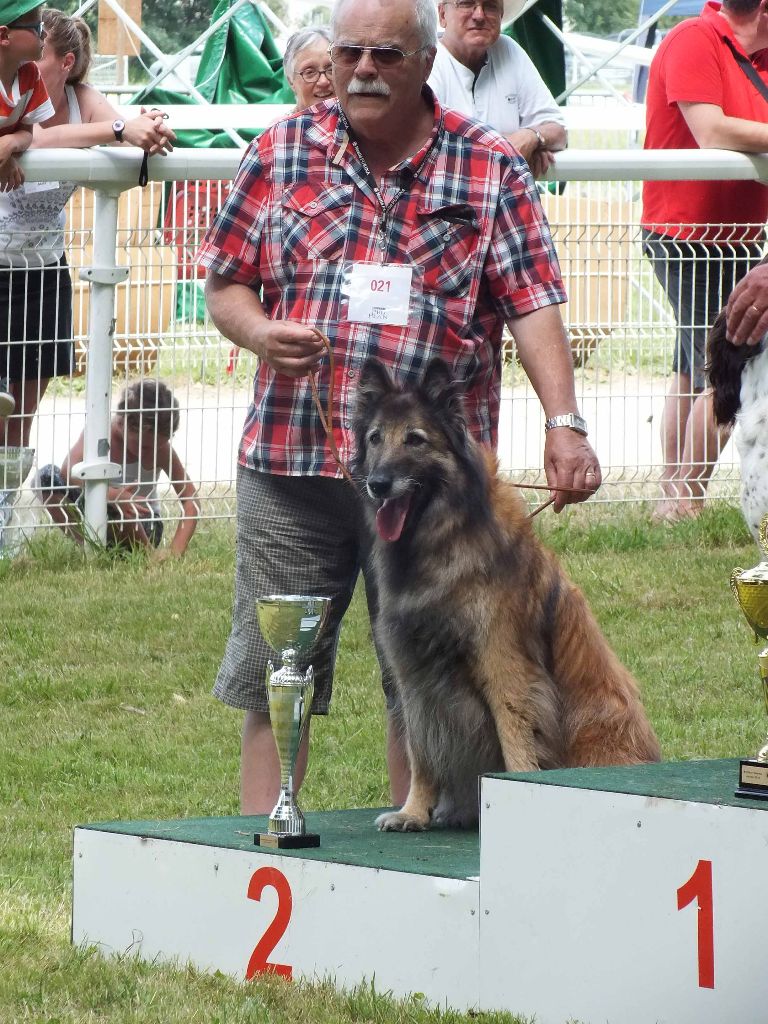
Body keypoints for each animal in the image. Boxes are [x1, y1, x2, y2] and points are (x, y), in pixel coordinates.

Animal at [354, 360, 663, 831]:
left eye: (415, 439)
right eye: (375, 438)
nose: (378, 484)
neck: (442, 540)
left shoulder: (506, 667)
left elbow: (516, 741)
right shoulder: (413, 676)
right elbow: (421, 752)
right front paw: (413, 812)